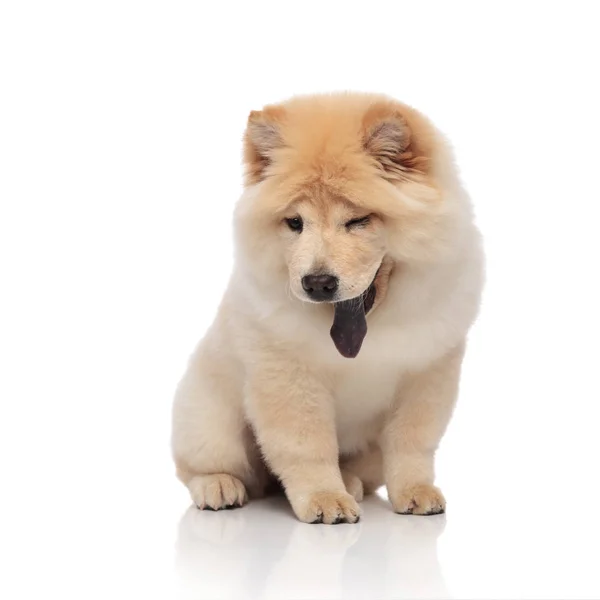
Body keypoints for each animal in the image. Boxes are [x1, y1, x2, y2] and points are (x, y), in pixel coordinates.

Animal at [170, 91, 482, 524]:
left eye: (358, 220)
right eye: (294, 222)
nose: (317, 283)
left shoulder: (427, 373)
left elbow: (412, 442)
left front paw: (416, 493)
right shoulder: (289, 377)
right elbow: (307, 446)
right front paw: (325, 501)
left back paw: (350, 483)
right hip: (210, 418)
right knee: (209, 465)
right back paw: (219, 487)